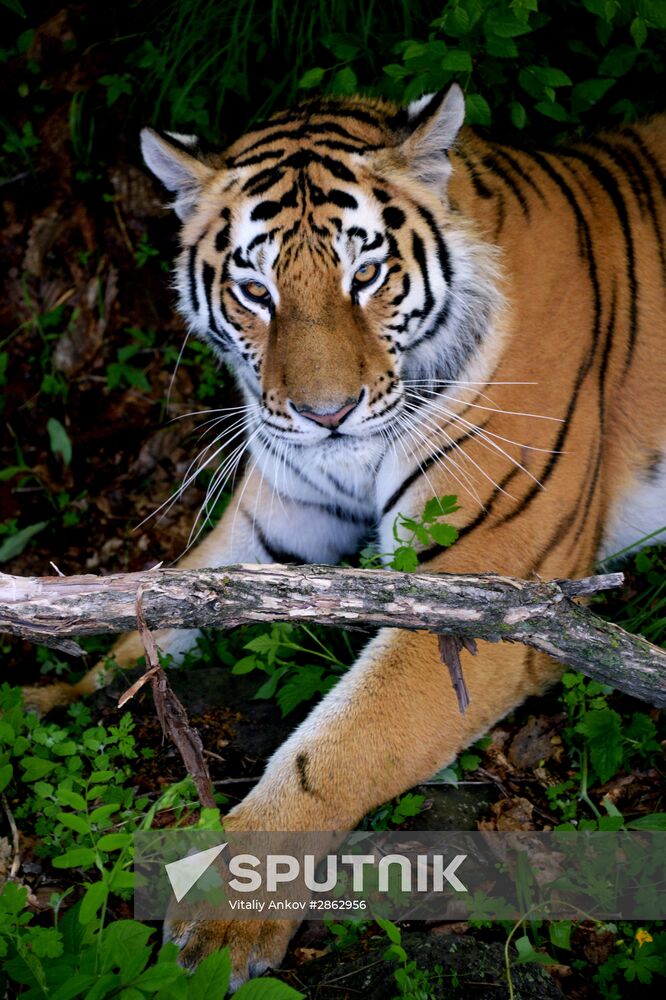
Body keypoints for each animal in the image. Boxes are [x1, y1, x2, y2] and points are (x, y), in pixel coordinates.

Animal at [28, 84, 664, 984]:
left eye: (366, 275)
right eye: (255, 291)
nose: (325, 416)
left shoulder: (486, 591)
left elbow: (335, 747)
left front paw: (228, 912)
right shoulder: (273, 536)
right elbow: (145, 626)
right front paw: (50, 701)